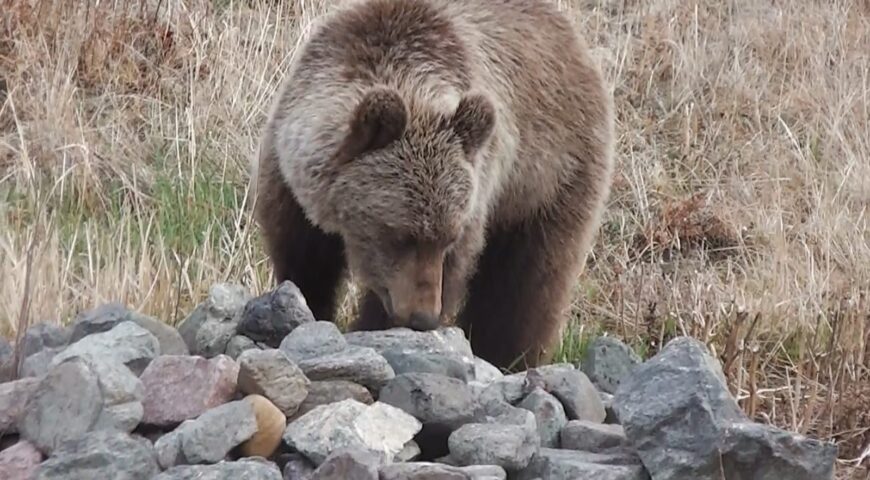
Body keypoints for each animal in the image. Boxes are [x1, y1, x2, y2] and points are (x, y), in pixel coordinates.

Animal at [250, 0, 615, 370]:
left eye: (448, 239)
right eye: (400, 235)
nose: (423, 317)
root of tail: (577, 45)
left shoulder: (478, 191)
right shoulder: (289, 179)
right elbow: (303, 259)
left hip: (548, 178)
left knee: (525, 283)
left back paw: (506, 357)